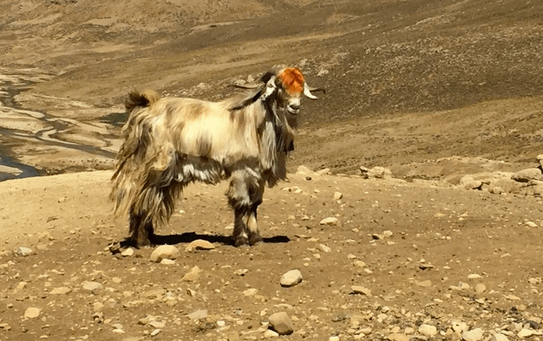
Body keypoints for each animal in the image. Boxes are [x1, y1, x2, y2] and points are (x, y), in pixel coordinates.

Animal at [110, 67, 324, 247]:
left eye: (300, 86)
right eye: (280, 85)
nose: (294, 106)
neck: (253, 120)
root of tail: (146, 108)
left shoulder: (258, 174)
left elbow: (254, 205)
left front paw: (257, 238)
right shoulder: (240, 169)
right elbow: (242, 203)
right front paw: (241, 240)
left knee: (149, 197)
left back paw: (146, 237)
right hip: (154, 164)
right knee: (140, 196)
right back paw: (143, 242)